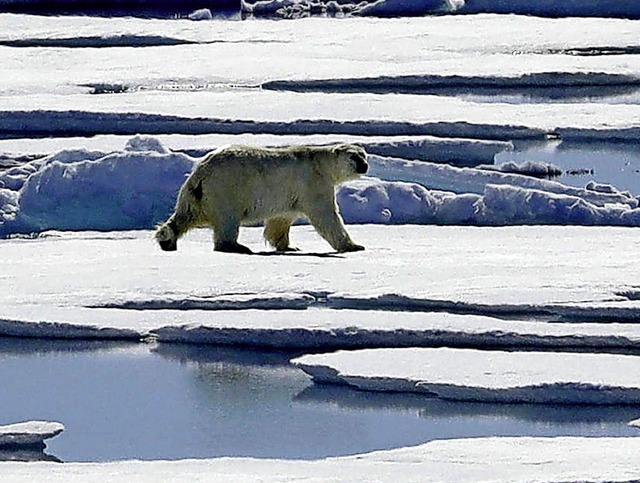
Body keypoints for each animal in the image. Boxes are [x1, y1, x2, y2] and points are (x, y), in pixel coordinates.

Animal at [154, 144, 370, 255]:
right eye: (354, 157)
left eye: (364, 155)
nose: (365, 165)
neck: (321, 163)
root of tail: (202, 170)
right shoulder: (313, 183)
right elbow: (326, 216)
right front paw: (354, 246)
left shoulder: (289, 195)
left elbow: (281, 220)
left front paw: (289, 246)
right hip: (227, 188)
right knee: (227, 220)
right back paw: (237, 247)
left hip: (195, 193)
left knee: (186, 214)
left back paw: (167, 240)